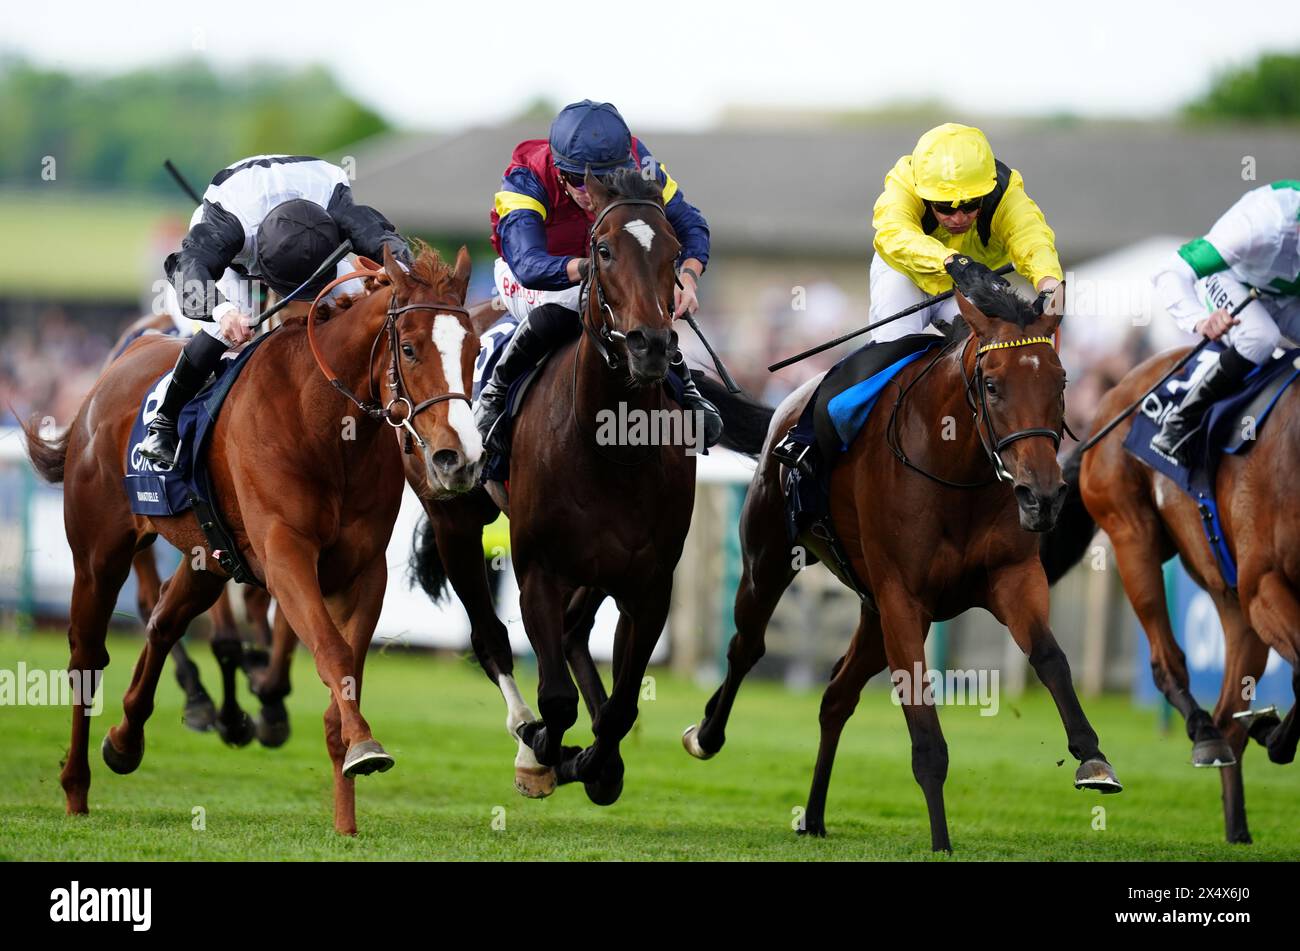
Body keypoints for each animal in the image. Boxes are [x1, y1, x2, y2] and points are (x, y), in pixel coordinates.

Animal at [22, 245, 483, 831]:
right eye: (409, 348)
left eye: (473, 349)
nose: (458, 458)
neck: (324, 425)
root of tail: (111, 374)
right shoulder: (285, 555)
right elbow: (331, 652)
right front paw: (363, 747)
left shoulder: (363, 569)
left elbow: (343, 674)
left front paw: (346, 815)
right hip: (99, 552)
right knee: (87, 656)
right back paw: (76, 788)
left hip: (208, 556)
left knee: (163, 621)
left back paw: (126, 741)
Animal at [681, 278, 1118, 852]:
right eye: (993, 386)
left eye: (1061, 381)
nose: (1043, 495)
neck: (956, 470)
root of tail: (785, 407)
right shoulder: (902, 598)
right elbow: (924, 726)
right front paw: (941, 841)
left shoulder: (1012, 578)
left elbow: (1050, 657)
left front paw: (1092, 757)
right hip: (769, 561)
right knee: (747, 646)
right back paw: (706, 735)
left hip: (871, 610)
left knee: (836, 697)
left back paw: (813, 816)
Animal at [1040, 345, 1300, 841]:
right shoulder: (1265, 584)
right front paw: (1272, 734)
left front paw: (1270, 731)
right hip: (1133, 535)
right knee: (1168, 663)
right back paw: (1207, 736)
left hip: (1230, 596)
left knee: (1229, 715)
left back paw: (1238, 828)